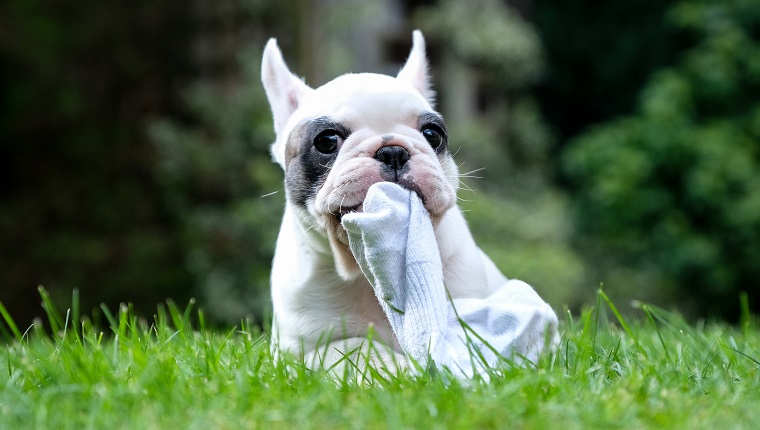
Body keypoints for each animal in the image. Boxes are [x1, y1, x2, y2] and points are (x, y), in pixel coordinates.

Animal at [262, 31, 560, 372]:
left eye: (433, 134)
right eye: (326, 141)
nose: (393, 150)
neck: (364, 270)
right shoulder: (301, 351)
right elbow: (355, 349)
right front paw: (397, 367)